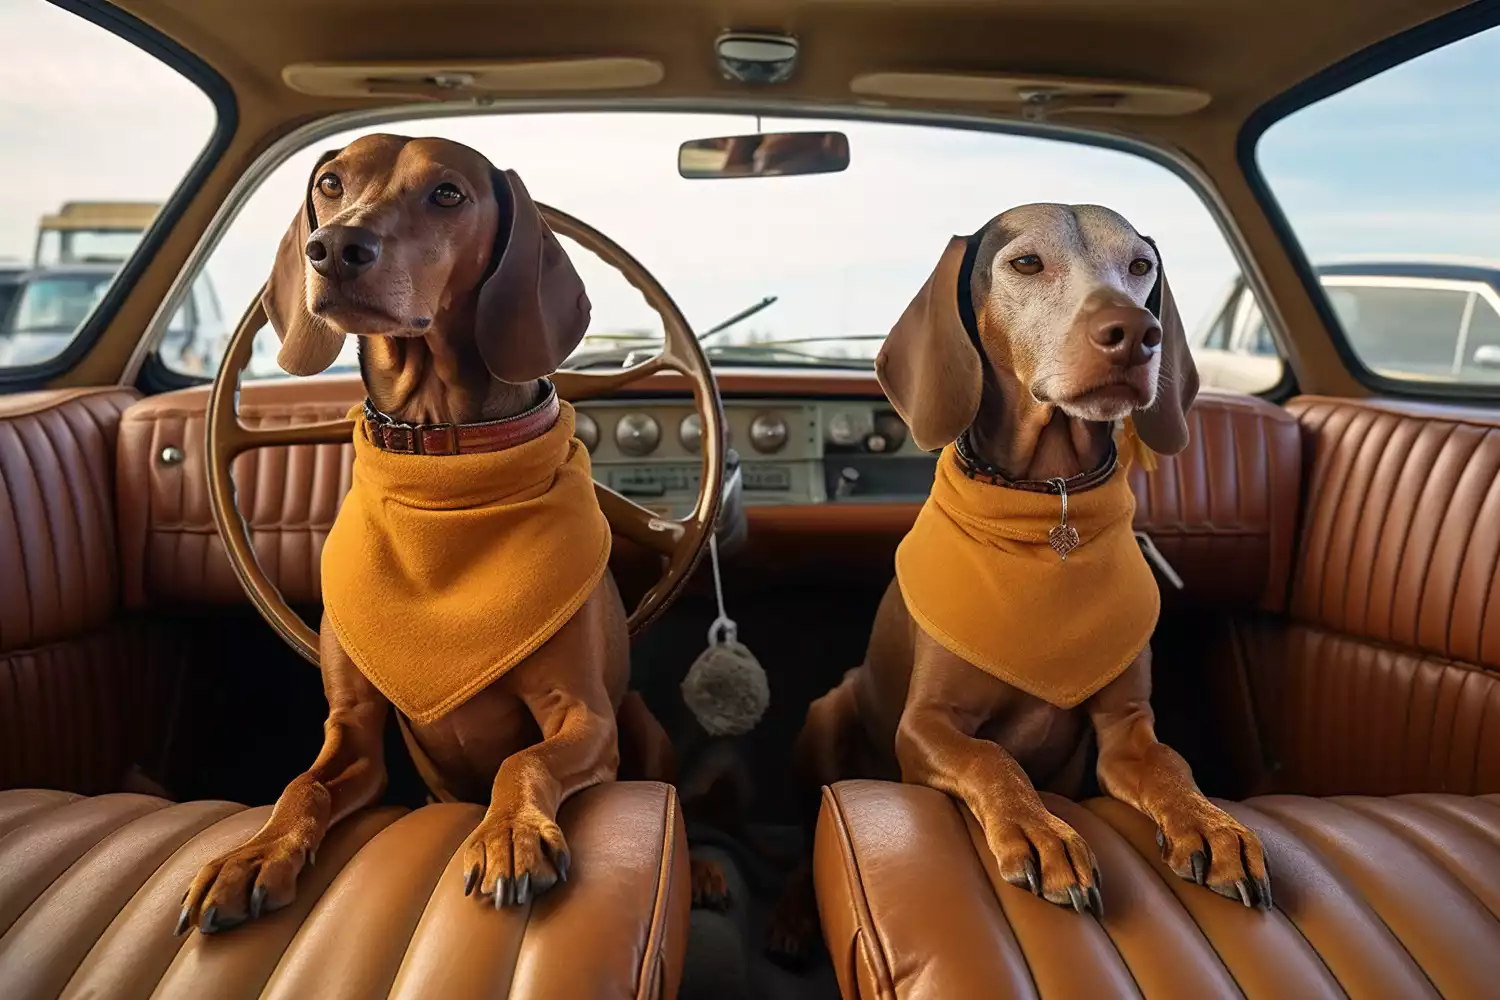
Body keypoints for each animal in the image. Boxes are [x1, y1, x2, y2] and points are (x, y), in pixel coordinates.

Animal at [175, 137, 675, 935]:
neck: (442, 454)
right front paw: (254, 853)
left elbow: (522, 760)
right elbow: (301, 786)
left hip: (641, 723)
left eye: (447, 194)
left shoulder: (586, 717)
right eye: (330, 182)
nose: (334, 247)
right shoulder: (351, 734)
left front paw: (509, 833)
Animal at [780, 200, 1272, 953]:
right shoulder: (925, 726)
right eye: (1027, 263)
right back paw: (793, 913)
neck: (1047, 502)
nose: (1136, 334)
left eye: (1141, 266)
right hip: (828, 710)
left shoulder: (1127, 732)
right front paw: (1043, 833)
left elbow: (1171, 766)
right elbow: (993, 759)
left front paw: (1213, 826)